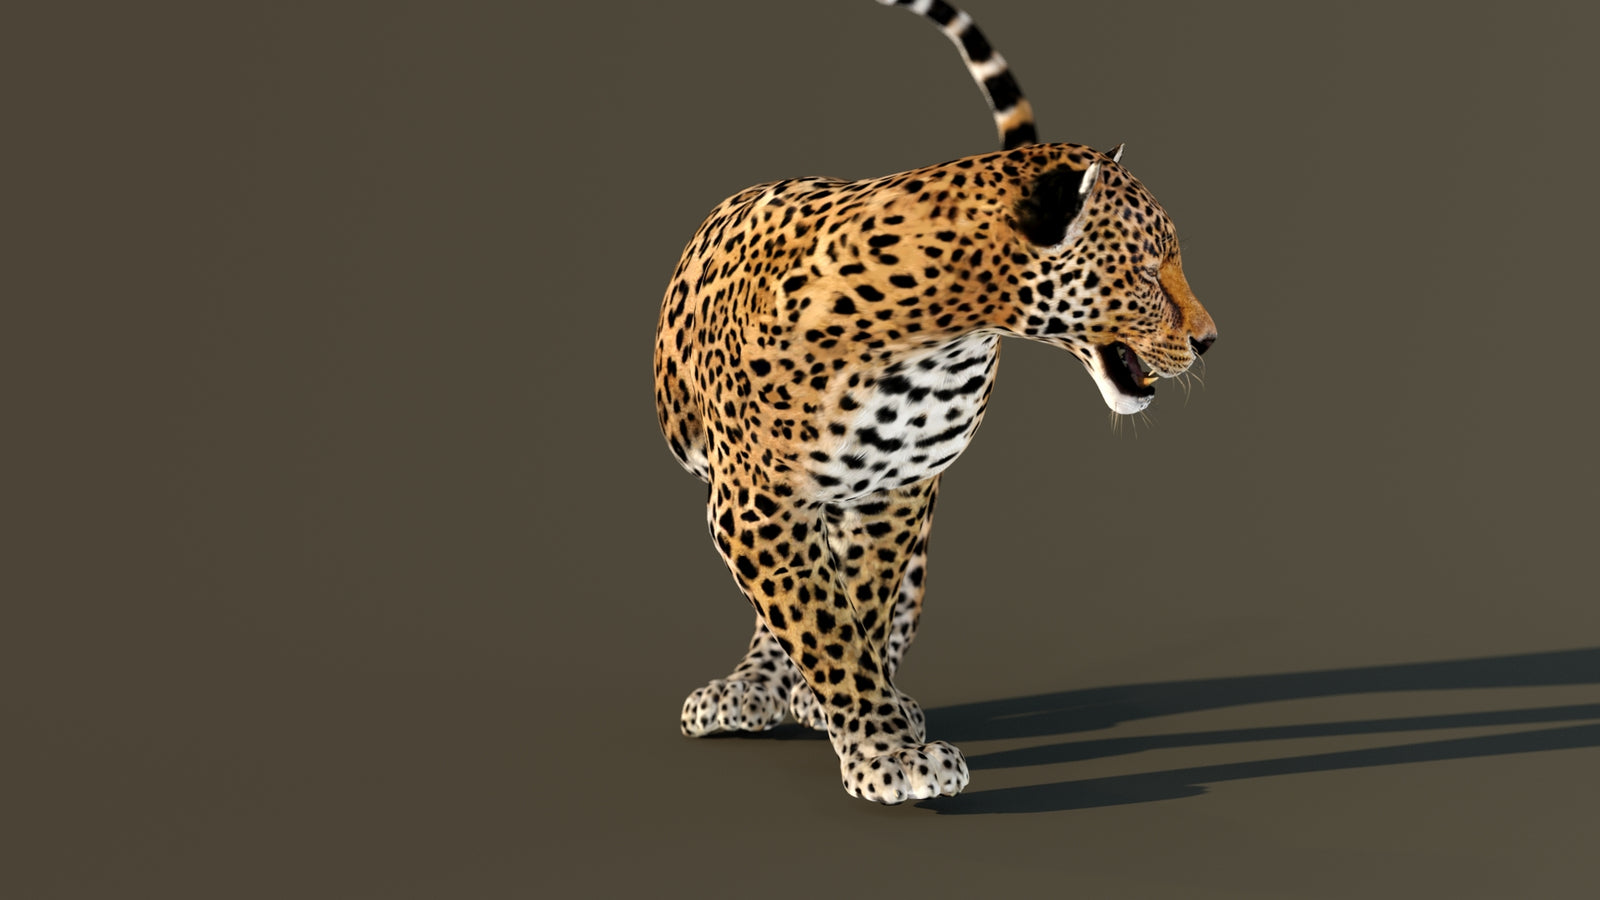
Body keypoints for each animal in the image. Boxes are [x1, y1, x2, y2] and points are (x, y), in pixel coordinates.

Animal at [654, 0, 1218, 805]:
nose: (1211, 340)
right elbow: (823, 625)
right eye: (1145, 269)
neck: (943, 331)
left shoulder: (891, 494)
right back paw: (753, 689)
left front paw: (869, 721)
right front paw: (886, 753)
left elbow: (856, 605)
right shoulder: (756, 503)